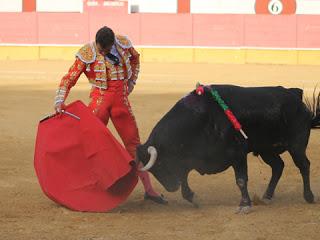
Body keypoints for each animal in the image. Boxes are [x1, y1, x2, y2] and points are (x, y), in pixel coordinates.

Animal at [136, 85, 320, 213]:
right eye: (152, 170)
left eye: (160, 164)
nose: (171, 187)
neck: (200, 118)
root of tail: (295, 96)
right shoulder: (190, 158)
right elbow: (184, 178)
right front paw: (194, 198)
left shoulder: (238, 154)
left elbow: (241, 180)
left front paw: (245, 205)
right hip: (266, 150)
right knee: (278, 166)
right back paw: (267, 197)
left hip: (296, 146)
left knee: (303, 165)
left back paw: (309, 196)